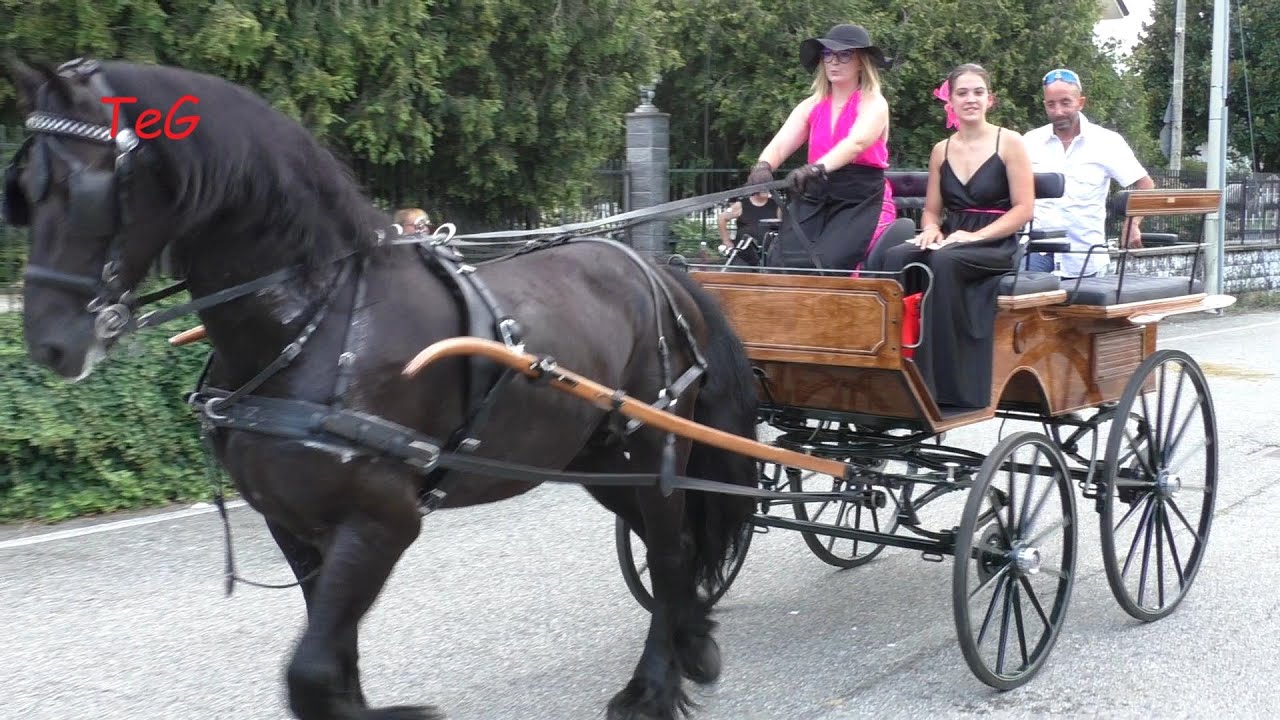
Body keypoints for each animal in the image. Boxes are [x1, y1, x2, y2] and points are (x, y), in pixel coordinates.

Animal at [3, 57, 760, 720]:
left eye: (88, 188)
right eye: (26, 192)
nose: (50, 343)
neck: (313, 318)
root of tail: (658, 270)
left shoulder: (382, 520)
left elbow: (310, 672)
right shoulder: (292, 523)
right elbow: (330, 655)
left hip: (651, 449)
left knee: (669, 551)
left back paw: (654, 686)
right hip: (596, 459)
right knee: (670, 548)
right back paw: (696, 643)